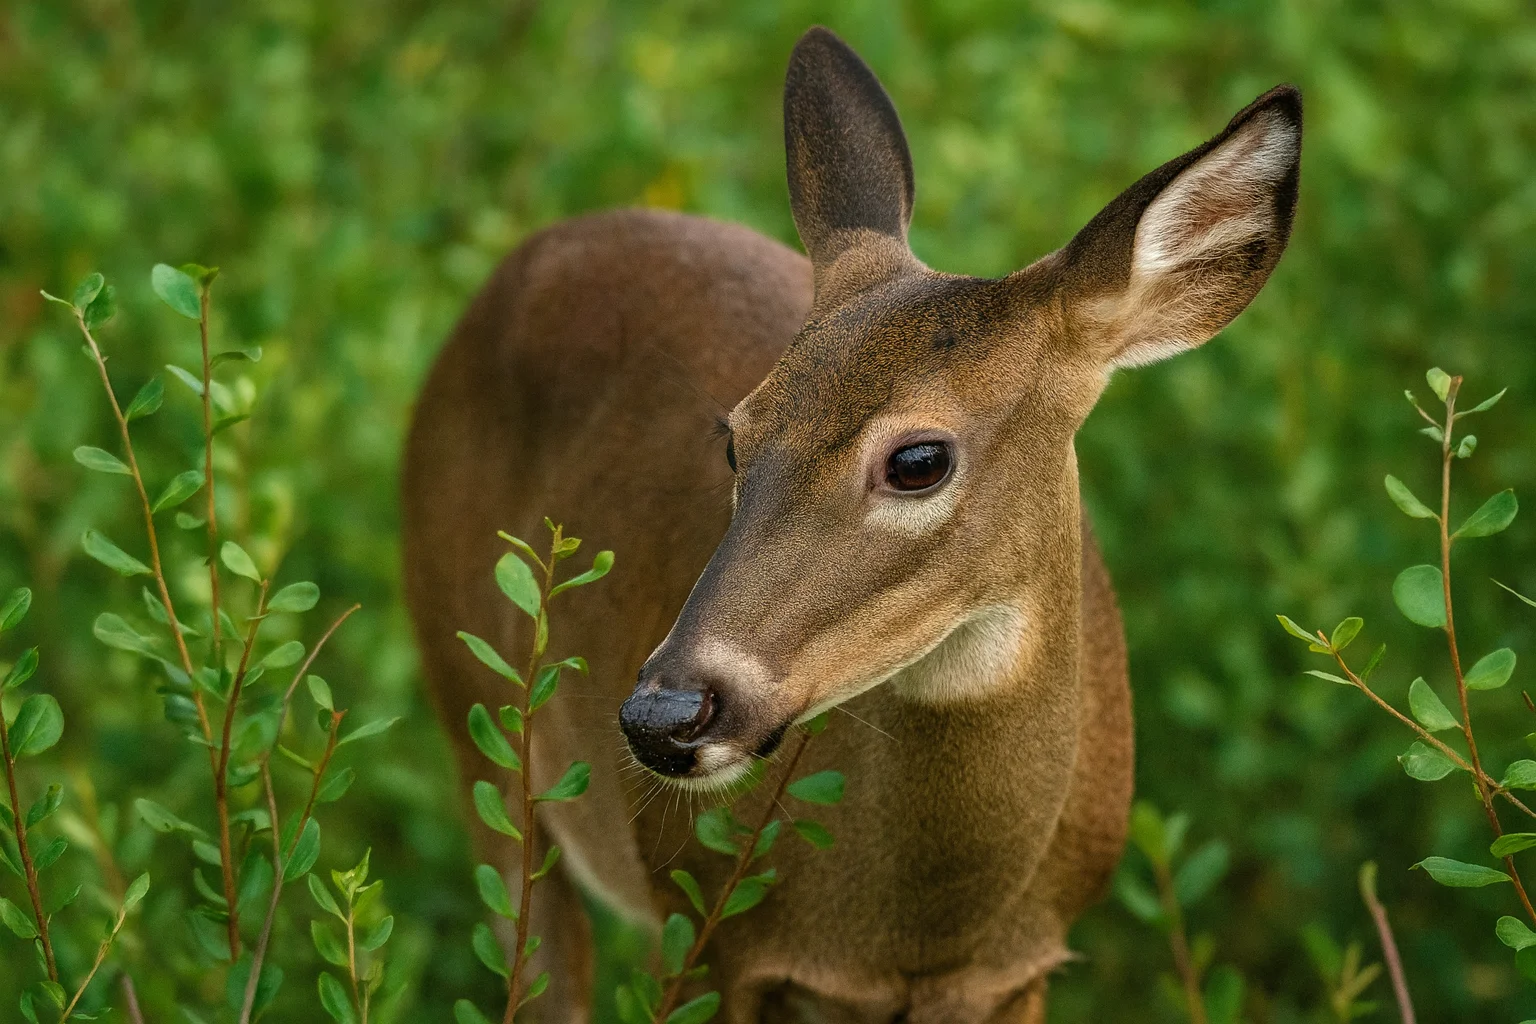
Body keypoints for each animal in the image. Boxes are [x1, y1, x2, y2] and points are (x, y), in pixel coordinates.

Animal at [403, 25, 1301, 1024]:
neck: (919, 927)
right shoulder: (705, 925)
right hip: (478, 729)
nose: (664, 715)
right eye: (734, 438)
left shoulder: (1022, 968)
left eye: (918, 460)